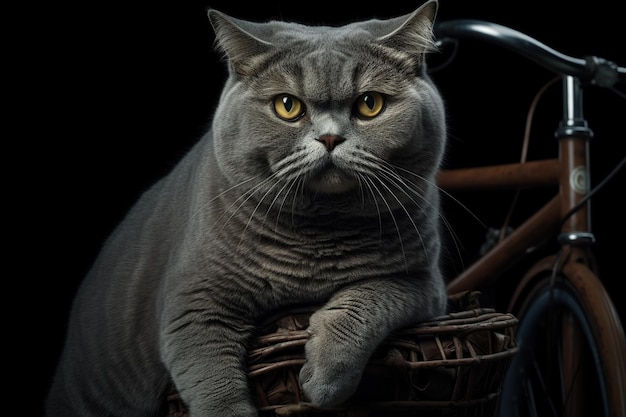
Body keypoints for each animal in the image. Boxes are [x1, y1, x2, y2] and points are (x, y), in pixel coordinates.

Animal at [47, 1, 448, 414]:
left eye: (370, 104)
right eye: (287, 106)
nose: (330, 137)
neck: (319, 233)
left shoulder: (422, 284)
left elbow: (368, 302)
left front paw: (324, 381)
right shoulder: (194, 303)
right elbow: (211, 379)